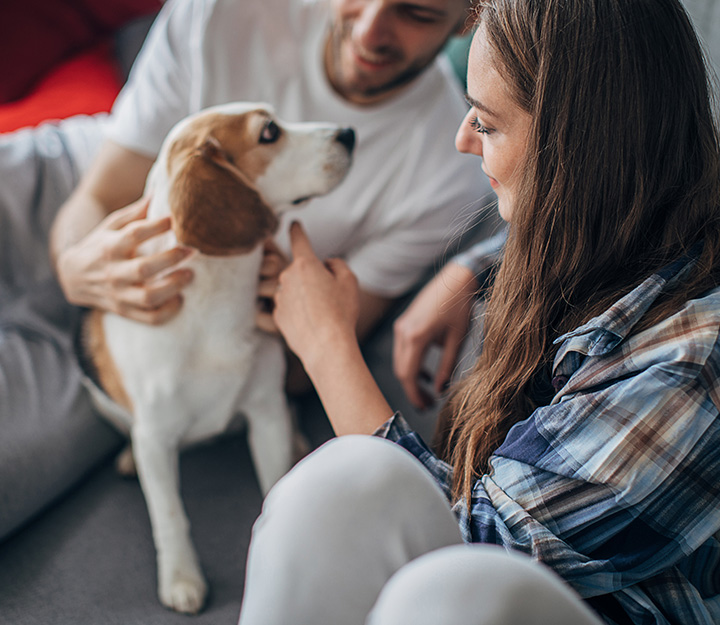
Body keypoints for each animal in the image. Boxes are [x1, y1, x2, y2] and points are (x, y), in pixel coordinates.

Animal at [83, 103, 352, 616]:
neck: (216, 300)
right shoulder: (155, 438)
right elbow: (169, 513)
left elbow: (276, 483)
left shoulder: (265, 412)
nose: (349, 132)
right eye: (269, 132)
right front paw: (180, 576)